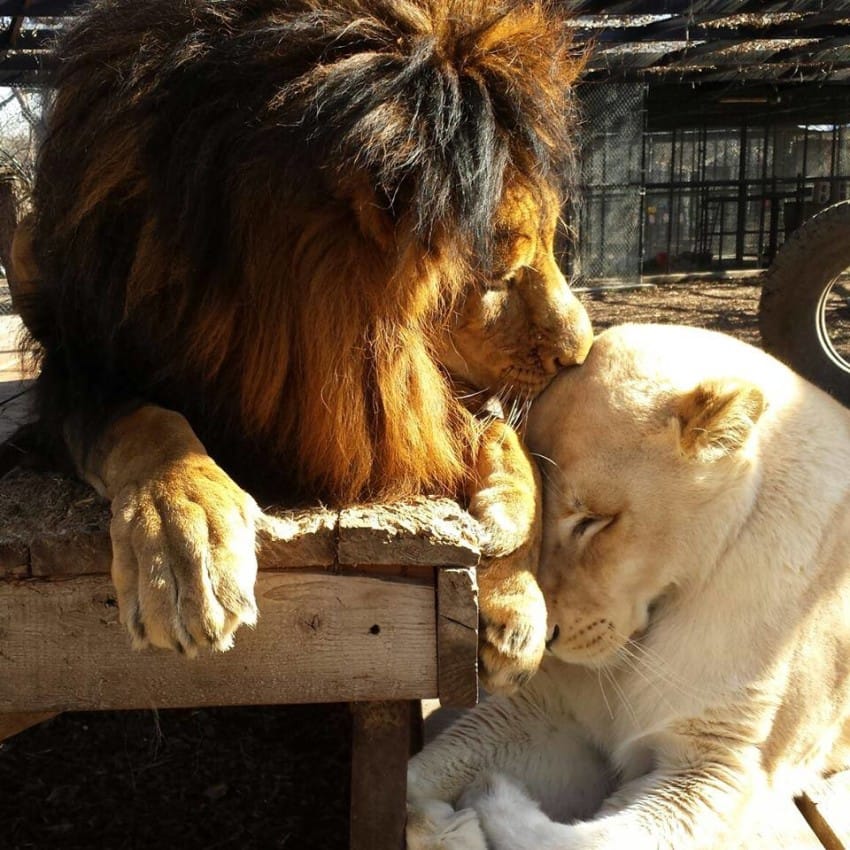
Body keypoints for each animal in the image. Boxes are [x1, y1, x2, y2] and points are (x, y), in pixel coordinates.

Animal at [14, 0, 590, 688]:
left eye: (549, 243)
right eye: (500, 274)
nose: (582, 351)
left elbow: (502, 437)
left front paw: (514, 577)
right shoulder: (77, 376)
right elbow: (148, 423)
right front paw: (186, 538)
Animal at [407, 323, 850, 849]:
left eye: (596, 520)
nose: (548, 640)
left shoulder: (721, 767)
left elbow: (589, 840)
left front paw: (481, 806)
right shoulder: (547, 712)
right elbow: (423, 770)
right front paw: (431, 819)